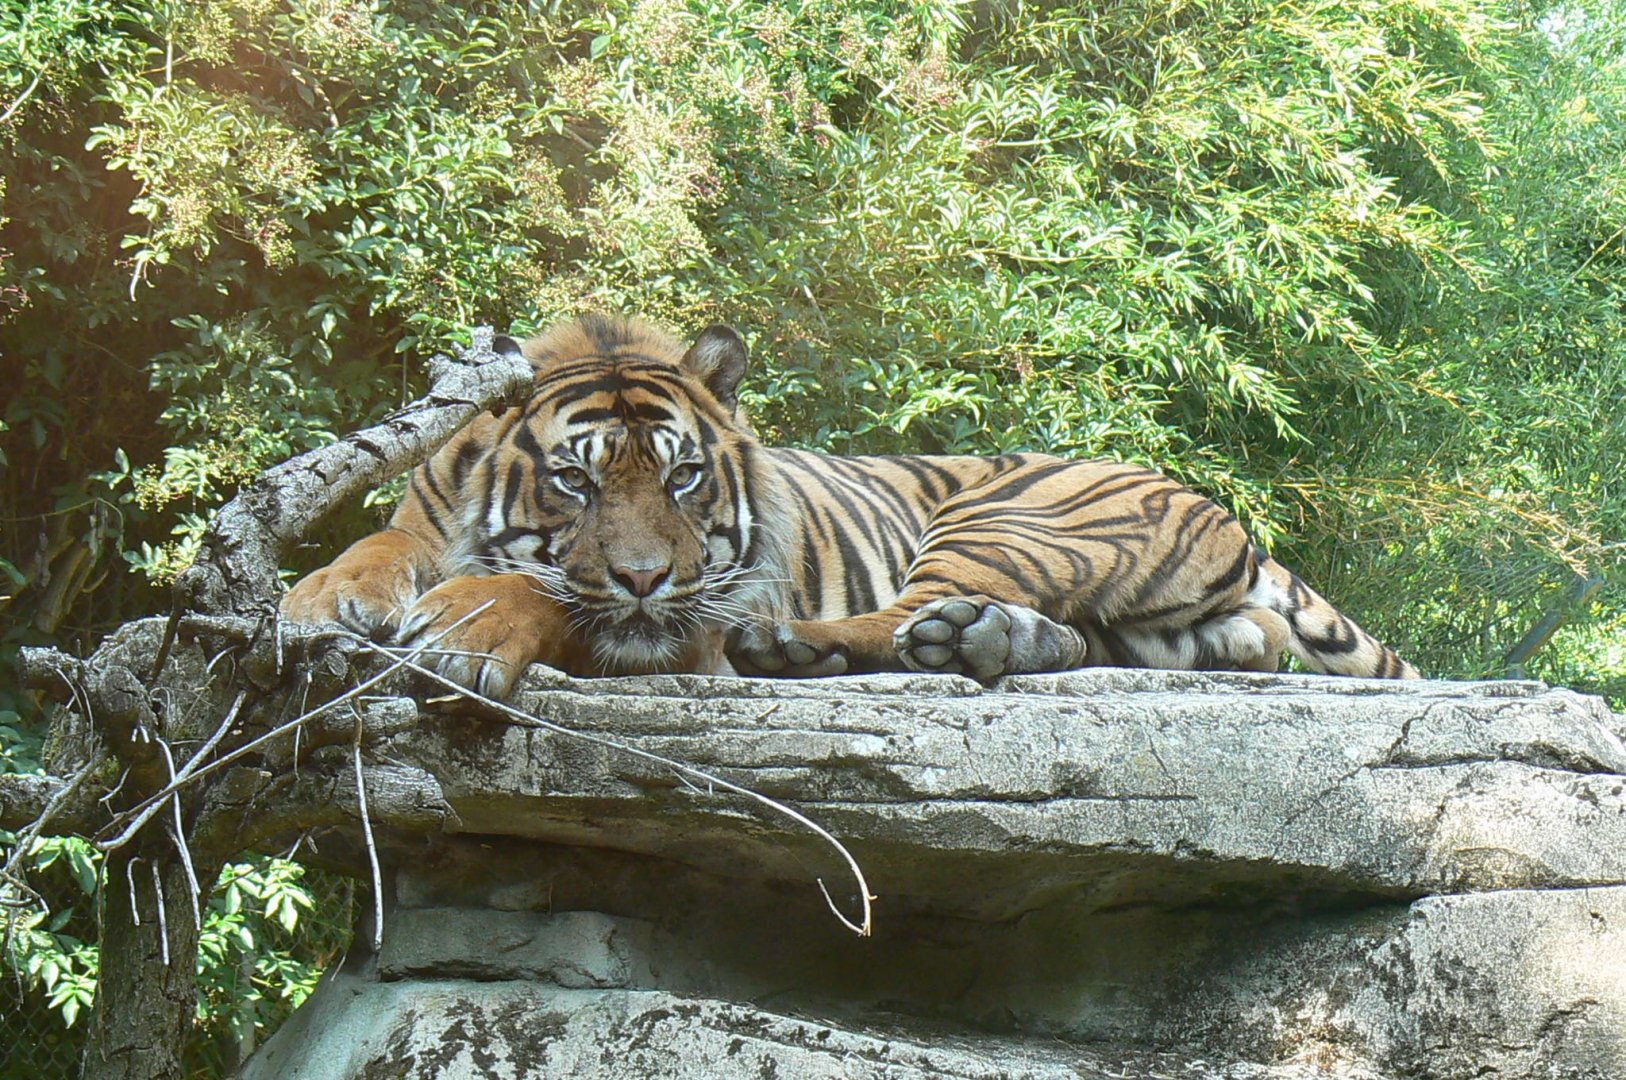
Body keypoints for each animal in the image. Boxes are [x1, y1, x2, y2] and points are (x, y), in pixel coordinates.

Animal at [280, 314, 1419, 696]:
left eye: (683, 477)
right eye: (577, 479)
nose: (646, 576)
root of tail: (1214, 502)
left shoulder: (691, 613)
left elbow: (565, 604)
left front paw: (469, 625)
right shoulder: (421, 522)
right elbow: (370, 548)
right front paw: (316, 601)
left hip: (1004, 516)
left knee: (903, 617)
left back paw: (813, 648)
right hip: (1169, 627)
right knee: (1204, 643)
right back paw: (988, 641)